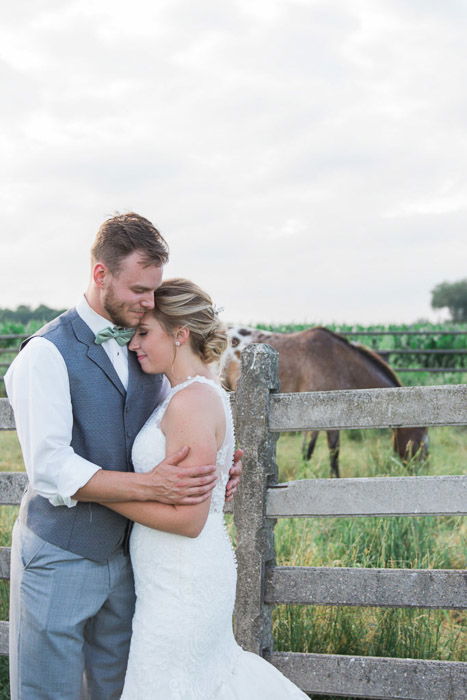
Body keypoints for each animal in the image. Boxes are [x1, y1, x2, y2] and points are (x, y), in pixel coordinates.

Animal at [221, 326, 430, 478]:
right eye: (421, 444)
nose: (421, 470)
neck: (338, 361)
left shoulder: (333, 418)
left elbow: (334, 452)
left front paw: (334, 478)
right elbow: (307, 451)